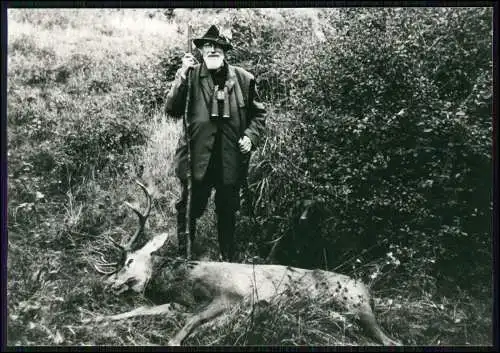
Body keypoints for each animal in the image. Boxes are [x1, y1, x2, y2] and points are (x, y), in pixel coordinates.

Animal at [84, 180, 400, 346]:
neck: (184, 282)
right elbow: (138, 310)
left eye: (129, 261)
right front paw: (92, 319)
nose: (107, 282)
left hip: (355, 304)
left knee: (391, 341)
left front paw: (176, 340)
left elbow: (192, 320)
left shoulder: (229, 294)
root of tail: (369, 289)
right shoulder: (175, 303)